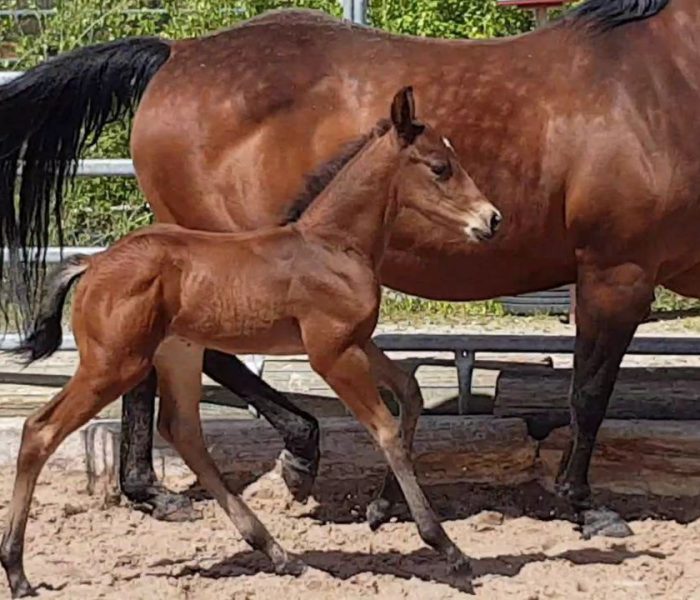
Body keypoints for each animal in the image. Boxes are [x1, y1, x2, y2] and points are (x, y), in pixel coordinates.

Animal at [0, 0, 695, 537]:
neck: (663, 82)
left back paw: (154, 490)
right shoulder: (617, 271)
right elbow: (589, 393)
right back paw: (295, 450)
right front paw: (585, 507)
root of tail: (179, 51)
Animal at [0, 88, 500, 598]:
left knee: (183, 431)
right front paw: (447, 549)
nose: (492, 219)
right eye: (440, 167)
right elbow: (386, 431)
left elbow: (410, 394)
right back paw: (17, 572)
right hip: (113, 364)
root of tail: (94, 263)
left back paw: (278, 552)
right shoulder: (332, 354)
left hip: (177, 354)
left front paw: (381, 510)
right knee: (40, 431)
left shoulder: (358, 342)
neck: (334, 246)